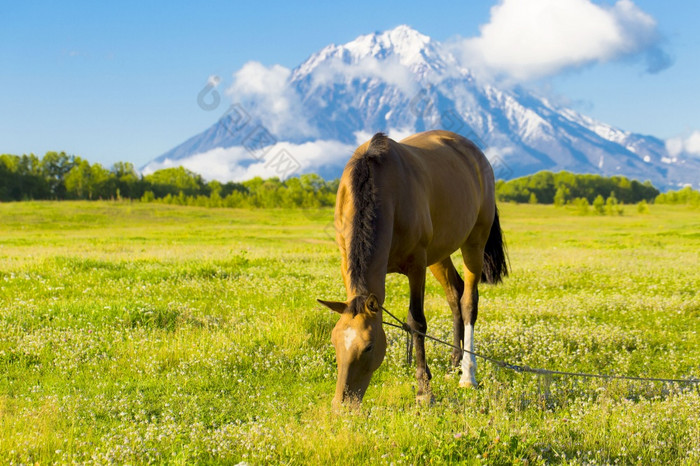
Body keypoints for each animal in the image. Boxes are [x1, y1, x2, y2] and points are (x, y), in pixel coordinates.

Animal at [318, 129, 508, 406]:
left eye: (369, 346)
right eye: (334, 342)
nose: (343, 405)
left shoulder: (417, 265)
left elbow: (416, 322)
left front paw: (423, 390)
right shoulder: (346, 262)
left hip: (474, 243)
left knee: (468, 302)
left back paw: (467, 374)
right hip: (439, 254)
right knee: (455, 294)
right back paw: (454, 363)